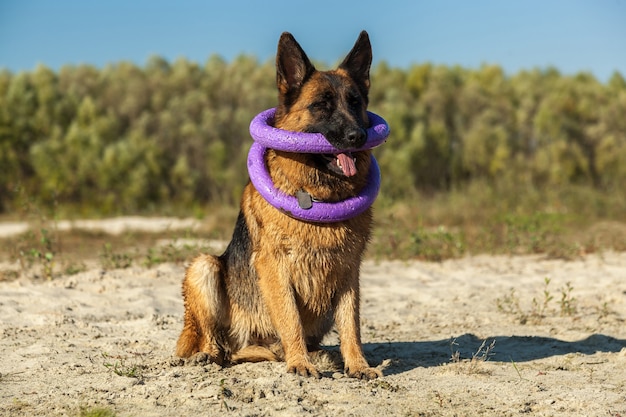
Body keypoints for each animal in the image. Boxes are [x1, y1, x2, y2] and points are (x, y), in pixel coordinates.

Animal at [176, 30, 380, 378]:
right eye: (321, 105)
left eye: (355, 102)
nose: (358, 136)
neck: (316, 193)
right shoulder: (276, 267)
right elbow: (290, 318)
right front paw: (300, 363)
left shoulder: (348, 271)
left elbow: (351, 325)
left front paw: (358, 365)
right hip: (204, 268)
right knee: (215, 342)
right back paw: (207, 356)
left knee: (246, 352)